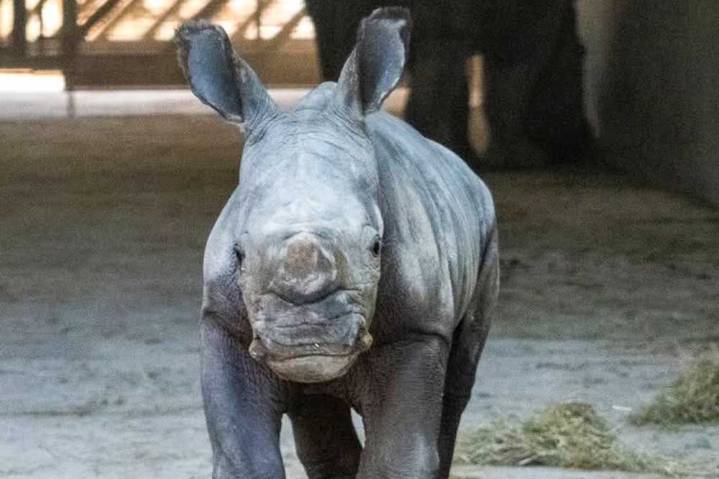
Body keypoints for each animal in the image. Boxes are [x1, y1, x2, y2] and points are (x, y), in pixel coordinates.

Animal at [176, 8, 499, 478]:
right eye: (238, 253)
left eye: (377, 247)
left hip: (487, 227)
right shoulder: (222, 323)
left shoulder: (417, 329)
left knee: (457, 386)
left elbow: (397, 455)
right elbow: (243, 454)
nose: (307, 336)